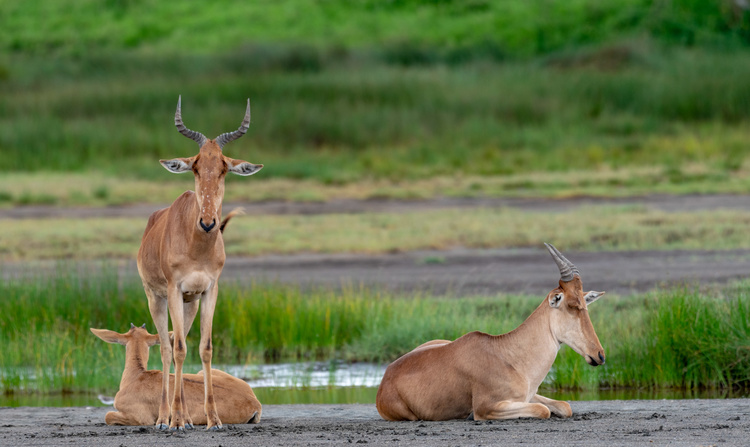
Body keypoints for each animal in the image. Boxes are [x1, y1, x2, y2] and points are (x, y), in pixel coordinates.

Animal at [139, 97, 264, 430]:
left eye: (223, 167)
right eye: (195, 165)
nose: (208, 223)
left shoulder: (209, 290)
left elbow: (204, 348)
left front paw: (214, 419)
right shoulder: (172, 289)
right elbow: (178, 349)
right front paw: (174, 421)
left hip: (189, 303)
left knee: (179, 344)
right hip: (156, 298)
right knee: (167, 348)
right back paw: (165, 418)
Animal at [378, 245, 608, 424]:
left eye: (584, 303)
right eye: (572, 305)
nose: (599, 355)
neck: (507, 354)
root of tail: (385, 378)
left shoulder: (528, 395)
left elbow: (564, 405)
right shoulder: (488, 407)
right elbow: (544, 410)